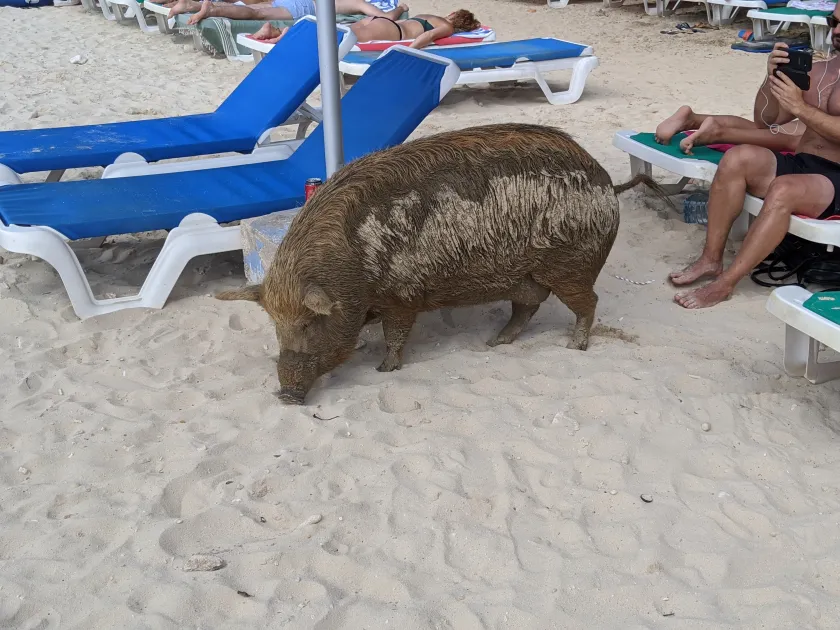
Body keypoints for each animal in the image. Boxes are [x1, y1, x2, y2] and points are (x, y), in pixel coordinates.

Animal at [218, 123, 660, 404]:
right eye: (276, 324)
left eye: (310, 323)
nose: (286, 396)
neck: (353, 263)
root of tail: (606, 181)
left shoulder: (402, 294)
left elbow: (396, 335)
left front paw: (384, 370)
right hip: (527, 276)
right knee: (528, 307)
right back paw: (495, 343)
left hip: (571, 266)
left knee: (588, 303)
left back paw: (575, 346)